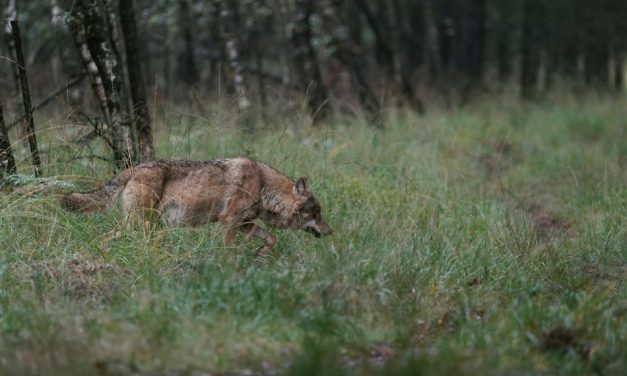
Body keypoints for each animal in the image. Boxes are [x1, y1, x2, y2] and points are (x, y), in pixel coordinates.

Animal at [60, 157, 334, 254]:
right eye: (317, 212)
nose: (331, 232)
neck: (263, 186)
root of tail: (133, 168)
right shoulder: (229, 223)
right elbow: (228, 250)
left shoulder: (245, 224)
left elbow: (271, 238)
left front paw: (262, 253)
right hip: (144, 225)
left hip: (143, 226)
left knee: (105, 238)